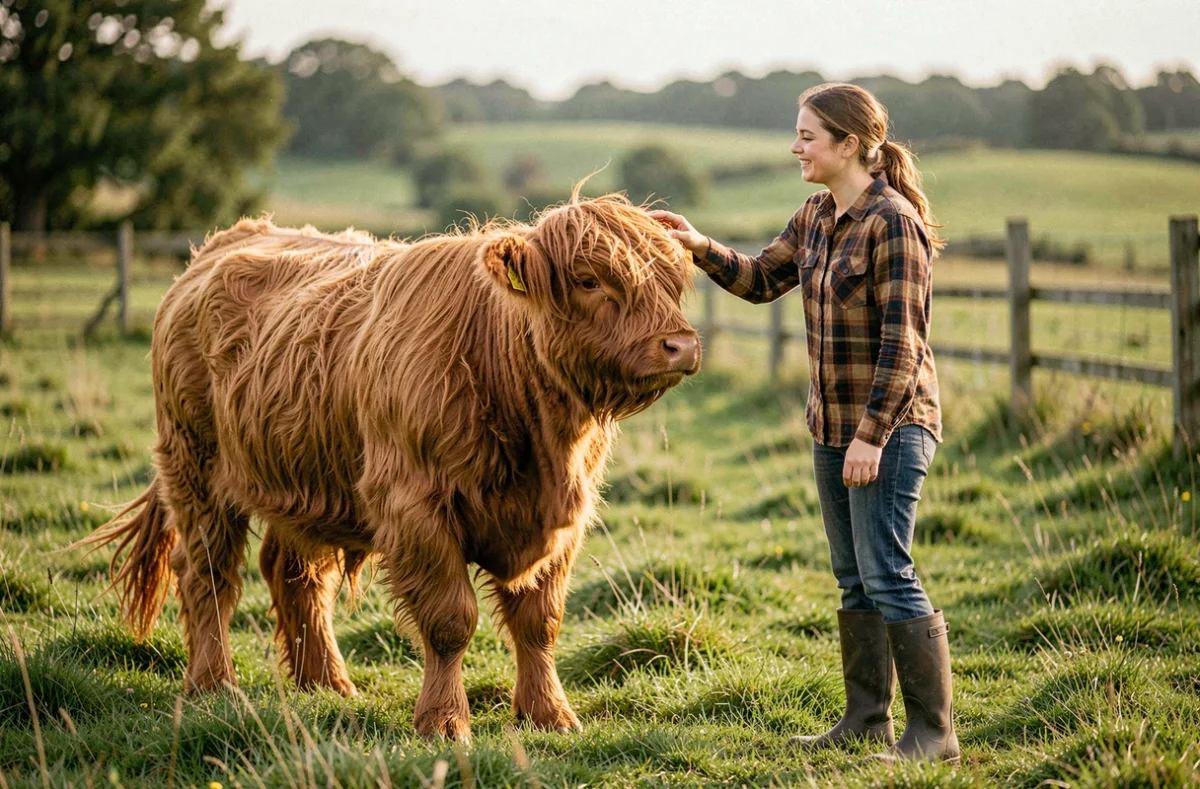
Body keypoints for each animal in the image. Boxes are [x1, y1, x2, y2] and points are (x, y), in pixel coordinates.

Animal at [78, 193, 700, 741]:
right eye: (590, 280)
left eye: (673, 281)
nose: (681, 345)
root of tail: (220, 245)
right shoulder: (415, 508)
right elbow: (451, 621)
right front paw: (443, 722)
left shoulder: (561, 522)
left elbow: (538, 622)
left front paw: (549, 715)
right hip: (196, 466)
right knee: (207, 572)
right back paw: (214, 684)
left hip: (305, 476)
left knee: (294, 574)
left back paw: (326, 684)